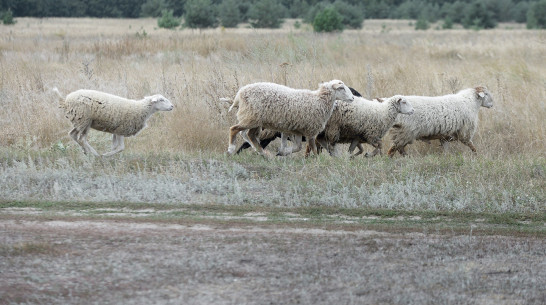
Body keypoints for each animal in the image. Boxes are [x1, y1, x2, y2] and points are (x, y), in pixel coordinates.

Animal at [224, 80, 352, 156]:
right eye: (341, 88)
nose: (352, 98)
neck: (319, 100)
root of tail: (239, 94)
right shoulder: (310, 130)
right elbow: (313, 149)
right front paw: (317, 161)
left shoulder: (299, 130)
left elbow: (298, 148)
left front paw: (283, 152)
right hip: (251, 117)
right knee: (234, 129)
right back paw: (231, 149)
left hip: (255, 120)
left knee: (250, 135)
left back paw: (263, 153)